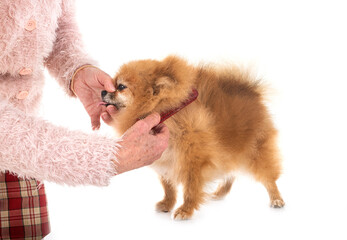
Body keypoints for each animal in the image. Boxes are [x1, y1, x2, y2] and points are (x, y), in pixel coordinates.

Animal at [102, 55, 286, 219]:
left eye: (121, 86)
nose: (103, 90)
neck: (166, 112)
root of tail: (251, 91)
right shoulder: (165, 160)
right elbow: (168, 187)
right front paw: (167, 204)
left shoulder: (193, 161)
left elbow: (190, 189)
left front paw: (185, 210)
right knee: (231, 172)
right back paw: (220, 192)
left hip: (255, 152)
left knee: (268, 178)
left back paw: (276, 199)